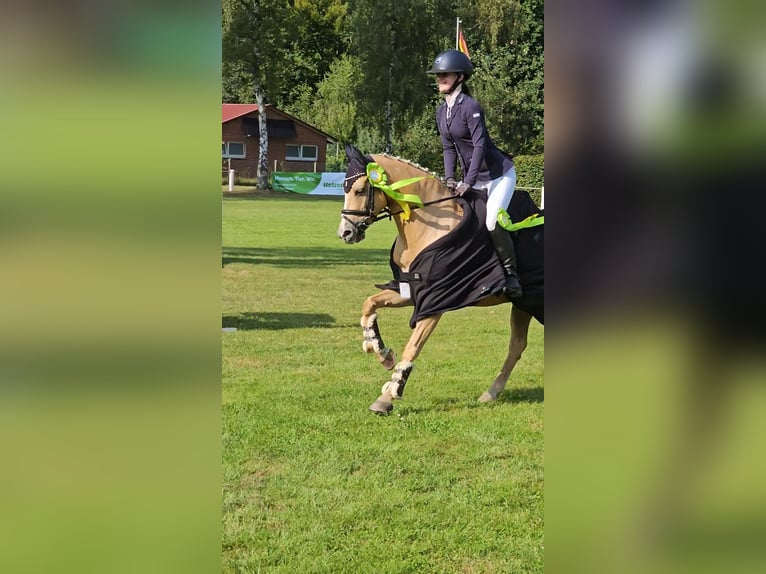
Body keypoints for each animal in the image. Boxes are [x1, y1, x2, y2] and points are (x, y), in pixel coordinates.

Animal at [338, 143, 544, 414]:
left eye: (360, 190)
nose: (345, 233)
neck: (428, 228)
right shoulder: (409, 289)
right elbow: (369, 304)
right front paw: (380, 351)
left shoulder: (435, 301)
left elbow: (413, 346)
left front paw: (388, 396)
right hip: (524, 304)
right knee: (517, 346)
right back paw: (490, 393)